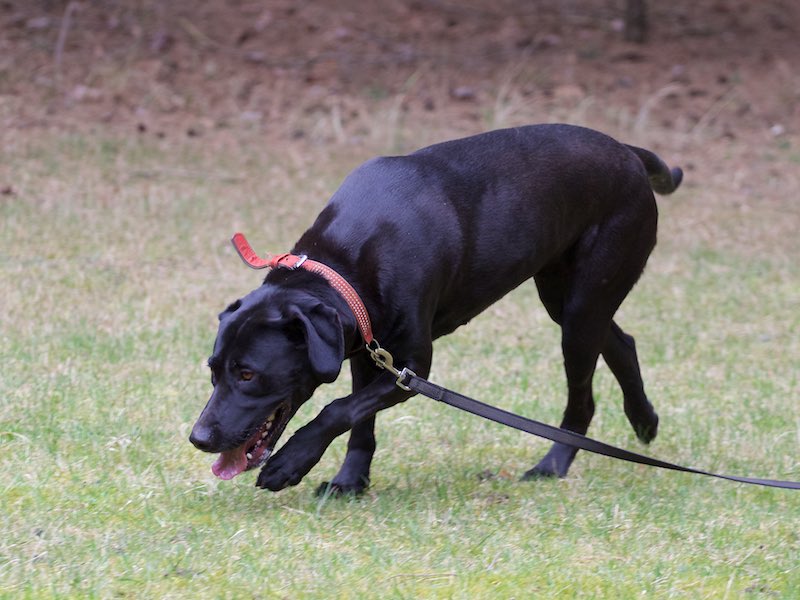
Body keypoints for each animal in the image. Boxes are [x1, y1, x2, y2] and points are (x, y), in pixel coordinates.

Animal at [189, 124, 683, 495]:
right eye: (213, 369)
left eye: (248, 374)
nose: (199, 438)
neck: (346, 265)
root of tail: (628, 152)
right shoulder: (369, 351)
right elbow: (358, 421)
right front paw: (351, 482)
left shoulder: (411, 369)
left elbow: (337, 410)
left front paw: (290, 464)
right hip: (566, 298)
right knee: (621, 341)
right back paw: (644, 420)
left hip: (583, 306)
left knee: (583, 396)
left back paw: (553, 464)